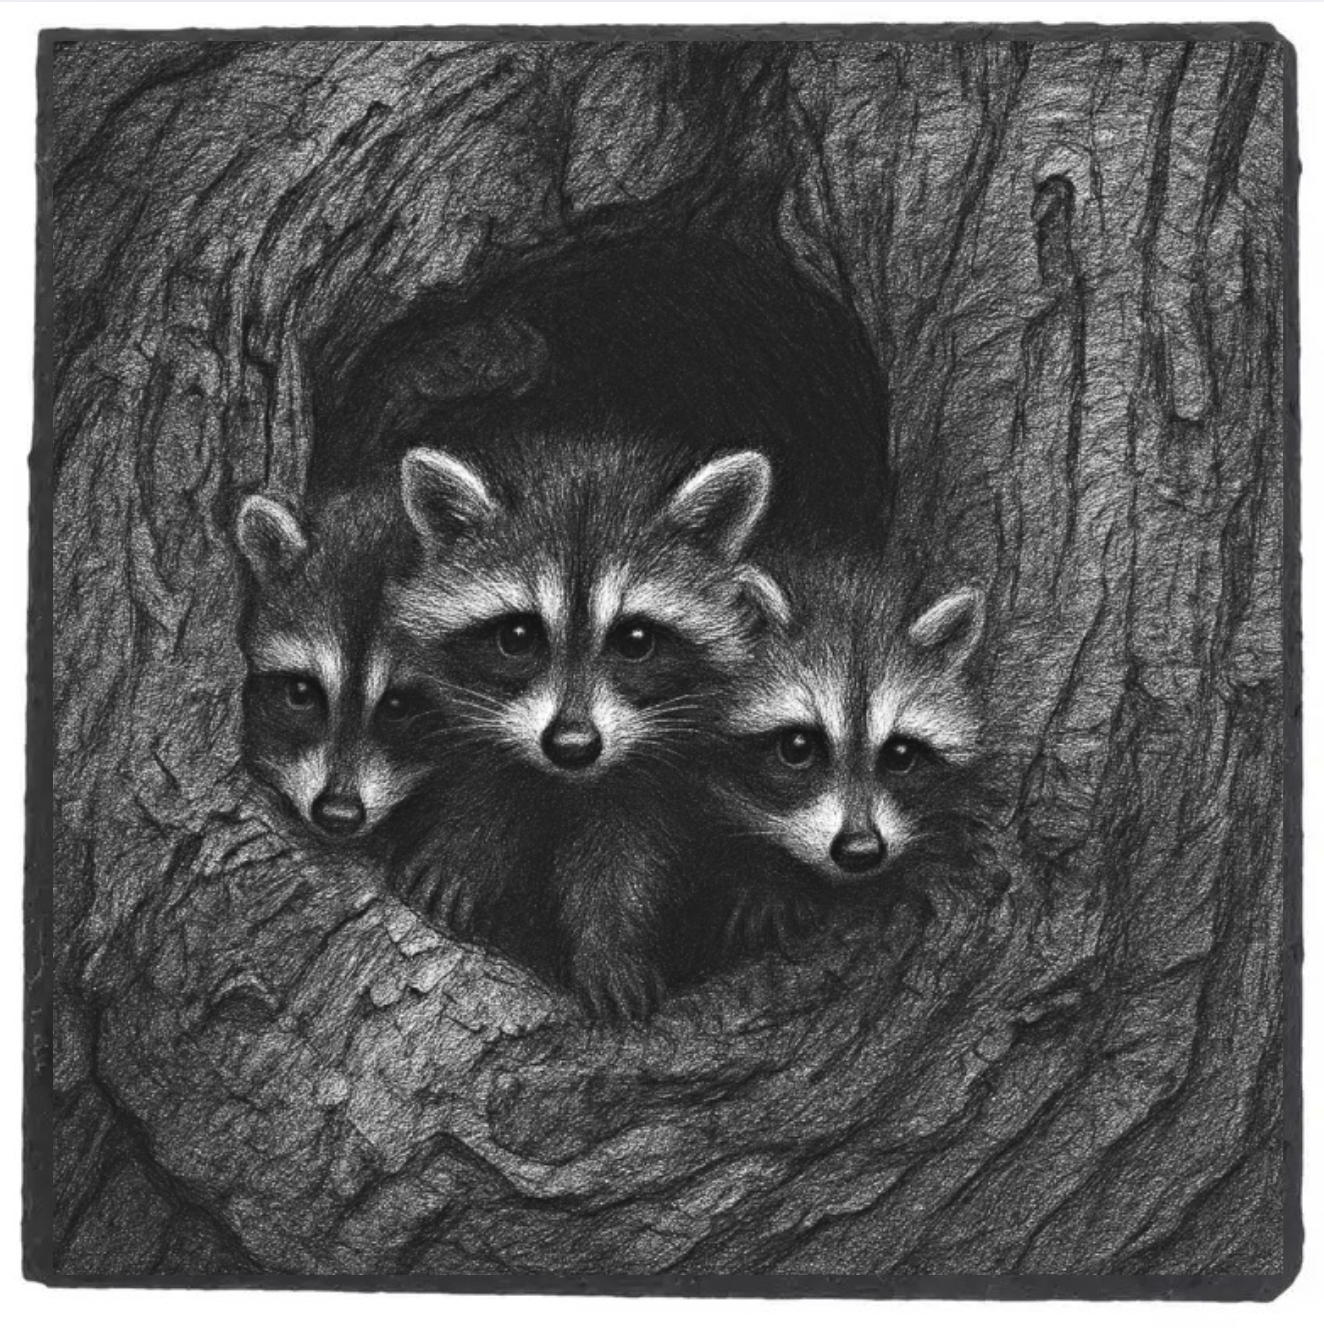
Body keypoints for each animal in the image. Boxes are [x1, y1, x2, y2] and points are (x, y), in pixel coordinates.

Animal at [388, 425, 778, 1019]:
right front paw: (465, 847)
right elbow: (487, 778)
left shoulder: (652, 772)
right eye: (518, 637)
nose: (571, 745)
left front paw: (613, 943)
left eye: (635, 641)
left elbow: (624, 856)